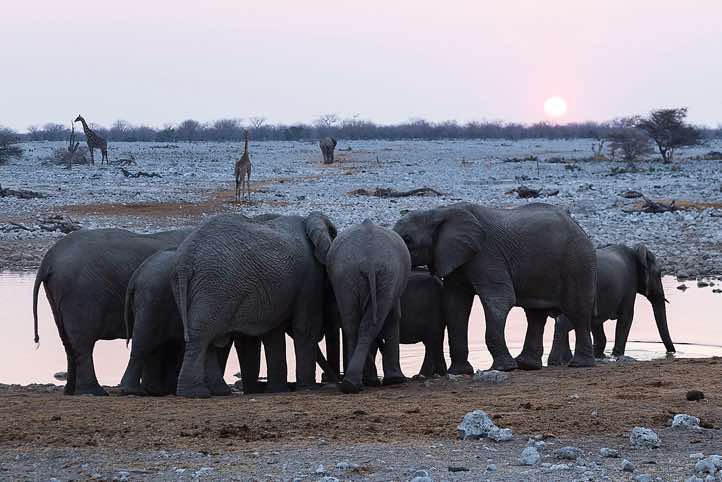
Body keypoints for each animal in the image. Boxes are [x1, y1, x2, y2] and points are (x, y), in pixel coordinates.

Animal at [32, 228, 190, 395]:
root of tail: (48, 259)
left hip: (59, 295)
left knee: (67, 342)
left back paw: (70, 391)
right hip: (81, 295)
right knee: (83, 342)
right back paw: (94, 391)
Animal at [171, 212, 337, 398]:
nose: (334, 381)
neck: (308, 220)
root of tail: (185, 263)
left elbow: (273, 334)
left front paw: (277, 390)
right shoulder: (309, 276)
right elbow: (306, 328)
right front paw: (308, 388)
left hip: (193, 286)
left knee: (203, 336)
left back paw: (216, 391)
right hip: (214, 284)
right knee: (202, 335)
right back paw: (197, 393)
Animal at [326, 219, 411, 393]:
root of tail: (369, 259)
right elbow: (394, 316)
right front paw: (395, 380)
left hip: (346, 276)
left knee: (352, 324)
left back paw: (351, 384)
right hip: (385, 275)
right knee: (370, 325)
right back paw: (361, 383)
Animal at [393, 202, 597, 373]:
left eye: (408, 239)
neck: (440, 211)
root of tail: (579, 226)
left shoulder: (486, 254)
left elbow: (499, 299)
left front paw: (504, 369)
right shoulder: (455, 258)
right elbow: (455, 304)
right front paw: (460, 372)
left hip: (577, 262)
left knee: (577, 311)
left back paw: (580, 364)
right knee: (535, 314)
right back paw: (527, 365)